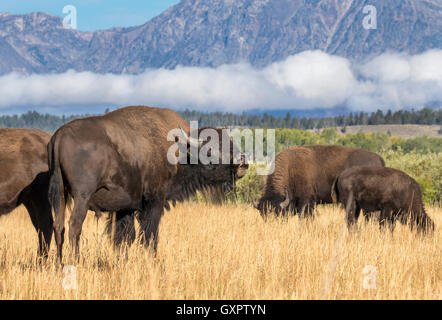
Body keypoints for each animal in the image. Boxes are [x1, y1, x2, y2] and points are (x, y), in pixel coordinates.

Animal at [48, 106, 249, 262]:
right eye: (211, 149)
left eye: (231, 142)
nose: (243, 163)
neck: (180, 151)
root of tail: (58, 136)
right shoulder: (154, 202)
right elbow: (150, 235)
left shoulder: (125, 208)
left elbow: (125, 237)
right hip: (82, 197)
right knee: (74, 225)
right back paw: (75, 262)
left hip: (61, 194)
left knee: (59, 226)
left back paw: (59, 264)